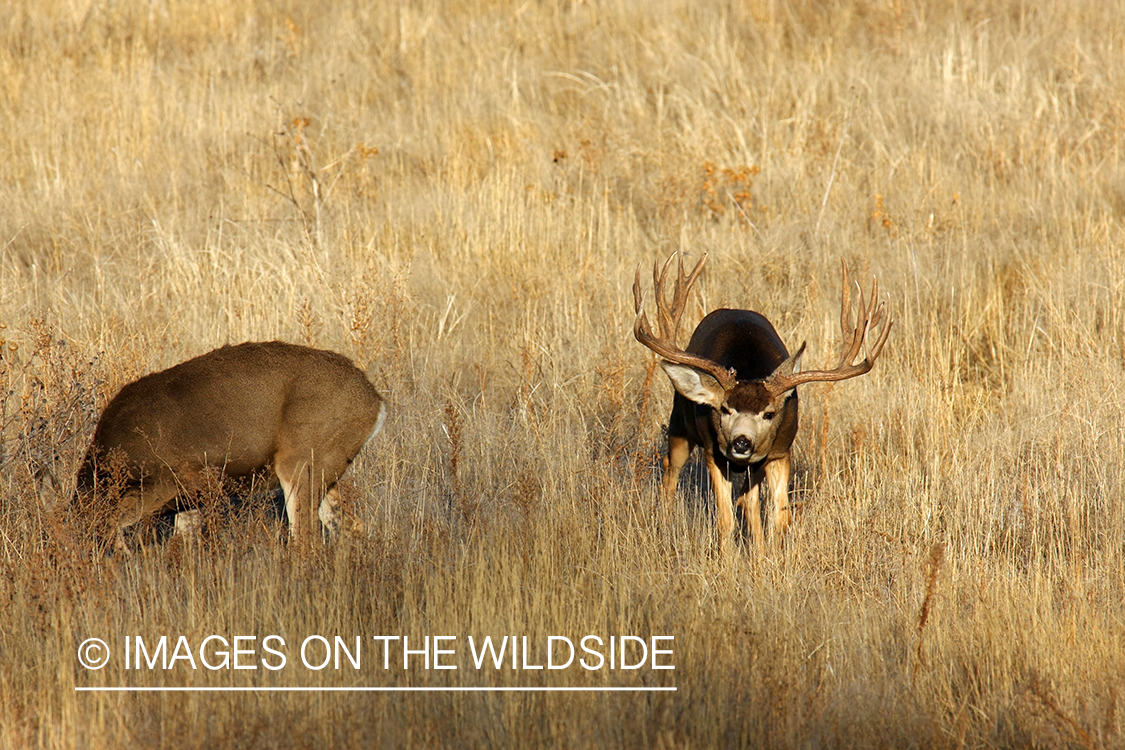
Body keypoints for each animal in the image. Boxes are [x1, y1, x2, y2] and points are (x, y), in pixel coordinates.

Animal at [77, 341, 387, 550]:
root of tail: (375, 402)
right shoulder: (191, 497)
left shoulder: (168, 479)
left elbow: (113, 521)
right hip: (328, 466)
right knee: (349, 525)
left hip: (302, 459)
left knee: (307, 539)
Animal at [639, 251, 891, 550]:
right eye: (724, 409)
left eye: (769, 413)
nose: (741, 442)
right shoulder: (714, 453)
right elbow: (725, 520)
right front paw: (729, 559)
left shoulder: (781, 451)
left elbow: (779, 518)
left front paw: (768, 555)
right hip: (680, 422)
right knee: (671, 467)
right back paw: (664, 522)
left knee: (749, 501)